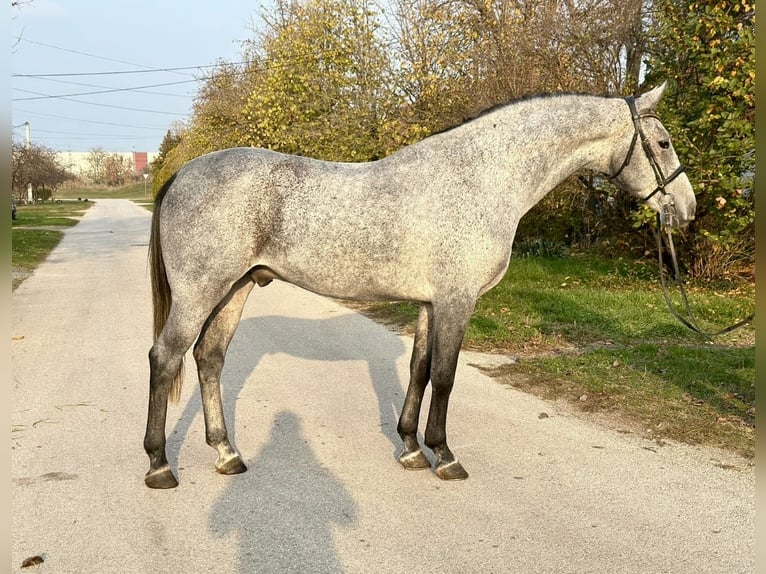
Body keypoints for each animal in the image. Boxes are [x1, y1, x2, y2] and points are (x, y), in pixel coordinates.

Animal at [142, 82, 696, 490]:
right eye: (663, 143)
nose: (687, 210)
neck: (480, 178)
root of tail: (182, 173)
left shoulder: (432, 303)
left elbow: (420, 369)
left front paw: (410, 448)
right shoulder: (456, 301)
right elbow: (447, 376)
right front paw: (445, 455)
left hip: (235, 288)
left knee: (209, 358)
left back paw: (227, 453)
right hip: (200, 293)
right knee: (166, 358)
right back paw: (159, 465)